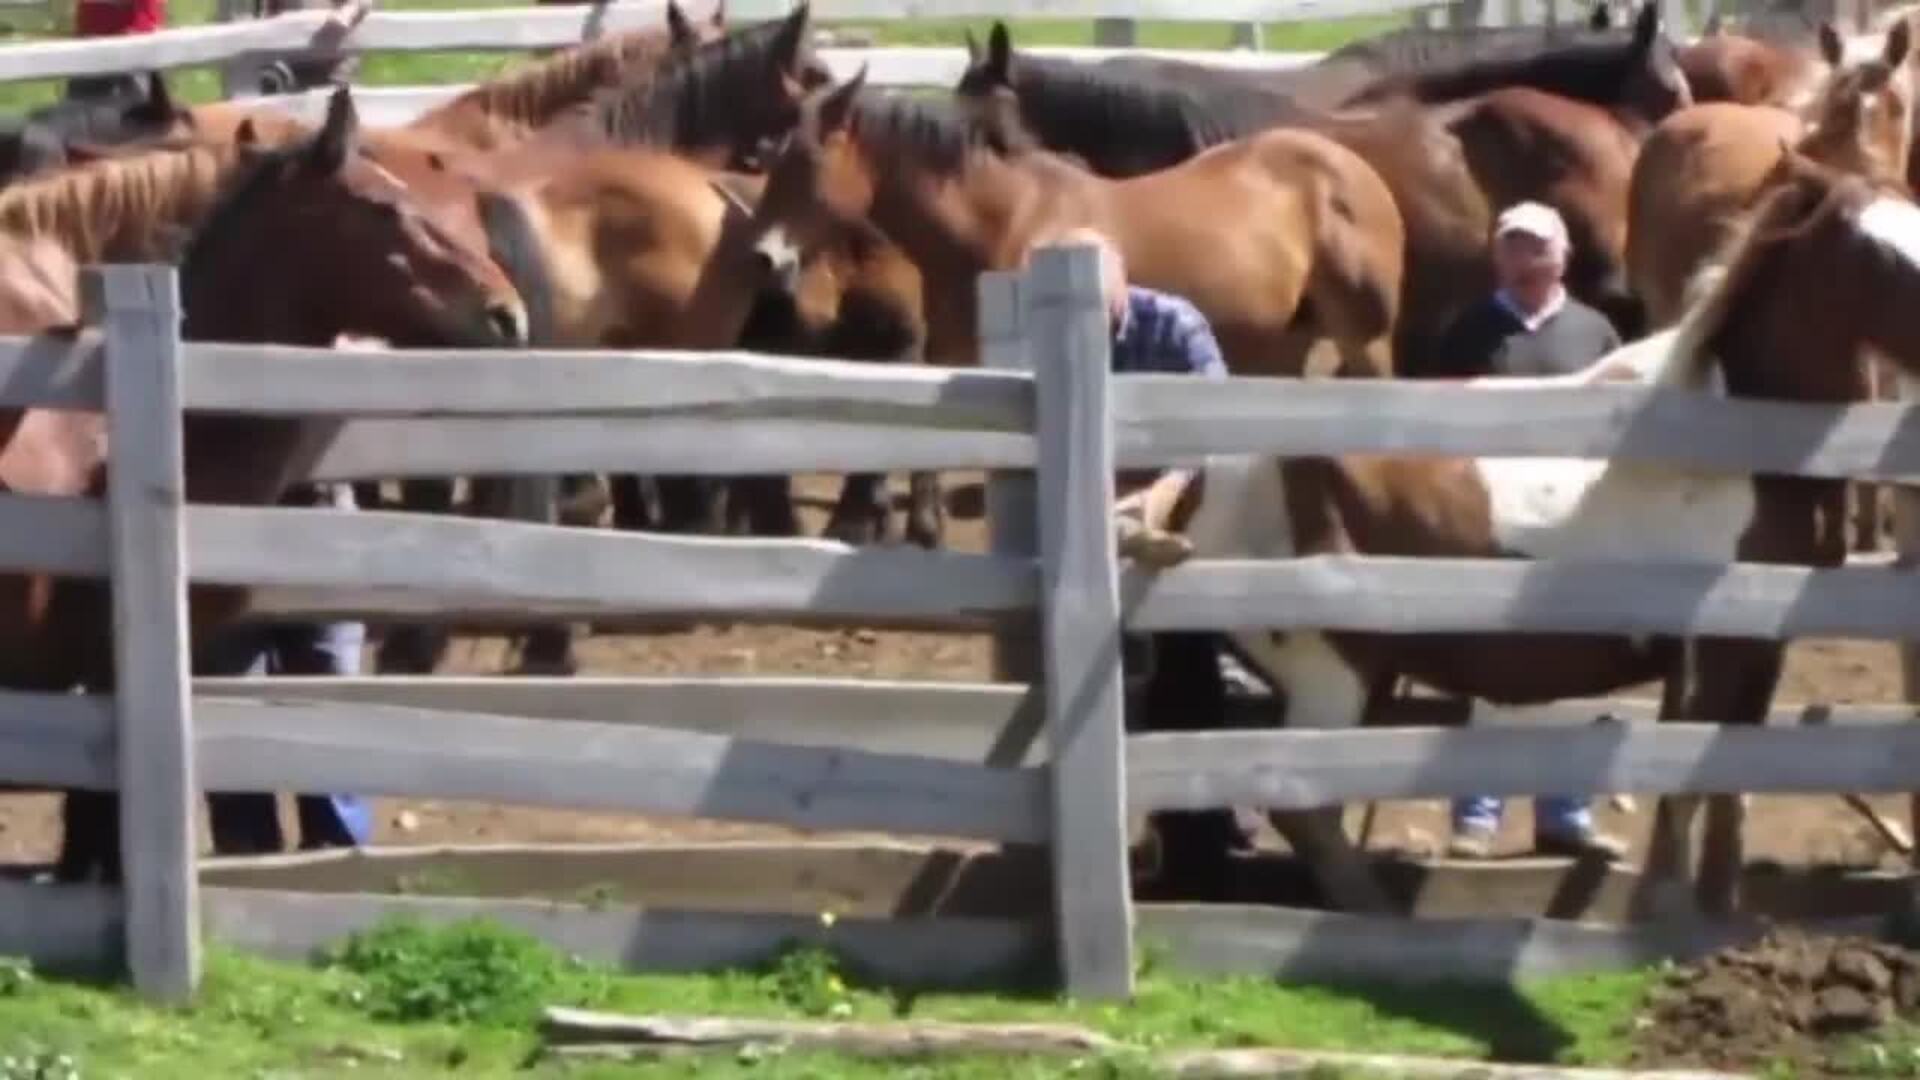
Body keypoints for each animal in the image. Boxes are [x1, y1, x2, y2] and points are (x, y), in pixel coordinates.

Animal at [759, 71, 1404, 381]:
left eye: (808, 162)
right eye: (771, 156)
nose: (765, 255)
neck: (1004, 224)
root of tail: (1354, 169)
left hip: (1364, 340)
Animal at [1117, 148, 1920, 918]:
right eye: (1873, 250)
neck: (1730, 442)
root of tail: (1202, 484)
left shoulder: (1760, 650)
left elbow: (1732, 785)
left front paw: (1722, 918)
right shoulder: (1708, 652)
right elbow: (1685, 786)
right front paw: (1663, 914)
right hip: (1331, 675)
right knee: (1301, 808)